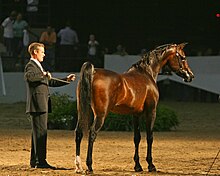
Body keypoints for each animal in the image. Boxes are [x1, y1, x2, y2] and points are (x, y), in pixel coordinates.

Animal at [75, 42, 193, 173]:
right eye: (183, 57)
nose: (190, 76)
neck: (146, 73)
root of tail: (93, 73)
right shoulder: (151, 112)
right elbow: (149, 137)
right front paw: (151, 165)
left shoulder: (136, 114)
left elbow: (137, 138)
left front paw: (137, 166)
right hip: (100, 115)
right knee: (92, 134)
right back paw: (89, 166)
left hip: (84, 111)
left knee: (79, 133)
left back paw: (79, 166)